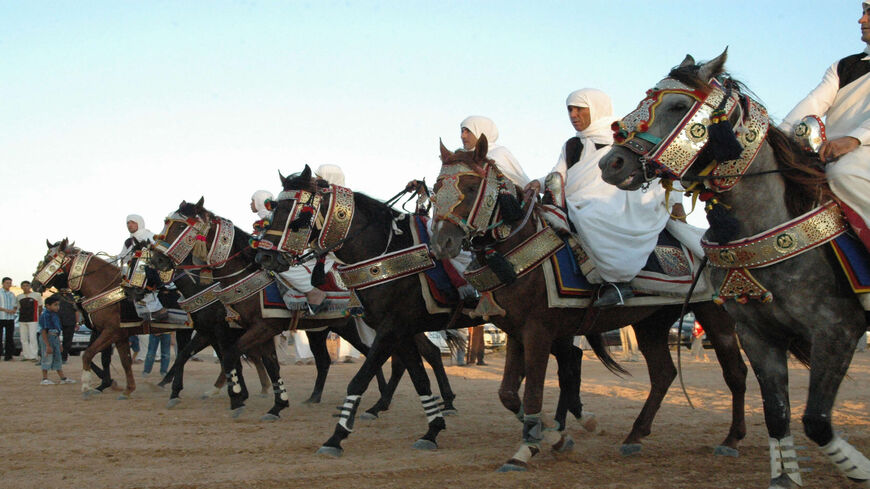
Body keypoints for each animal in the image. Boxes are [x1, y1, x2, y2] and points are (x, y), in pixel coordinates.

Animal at [254, 167, 600, 458]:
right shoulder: (402, 330)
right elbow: (419, 378)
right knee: (569, 360)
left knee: (568, 361)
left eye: (296, 214)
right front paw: (432, 429)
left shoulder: (391, 328)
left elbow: (360, 380)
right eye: (273, 212)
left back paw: (561, 422)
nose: (265, 258)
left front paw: (336, 437)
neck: (384, 251)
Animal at [430, 135, 748, 470]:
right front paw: (552, 435)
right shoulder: (517, 332)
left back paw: (731, 439)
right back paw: (634, 436)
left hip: (715, 316)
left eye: (469, 186)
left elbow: (532, 393)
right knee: (663, 374)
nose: (441, 243)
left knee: (736, 372)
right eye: (436, 188)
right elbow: (508, 394)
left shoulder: (538, 332)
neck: (519, 249)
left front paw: (526, 449)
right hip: (651, 323)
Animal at [600, 50, 870, 488]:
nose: (612, 163)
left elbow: (816, 421)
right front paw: (784, 477)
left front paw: (860, 469)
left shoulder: (837, 331)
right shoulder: (759, 337)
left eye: (678, 106)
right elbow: (778, 416)